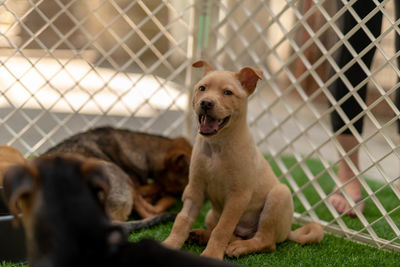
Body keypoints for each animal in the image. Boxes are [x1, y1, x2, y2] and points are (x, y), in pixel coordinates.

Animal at [164, 61, 324, 260]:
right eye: (202, 88)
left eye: (228, 92)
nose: (206, 103)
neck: (217, 145)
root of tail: (288, 231)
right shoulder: (195, 189)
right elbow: (182, 219)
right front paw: (170, 244)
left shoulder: (238, 196)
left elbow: (223, 228)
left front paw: (211, 255)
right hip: (211, 214)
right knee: (230, 234)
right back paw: (201, 236)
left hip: (279, 196)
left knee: (266, 241)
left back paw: (238, 247)